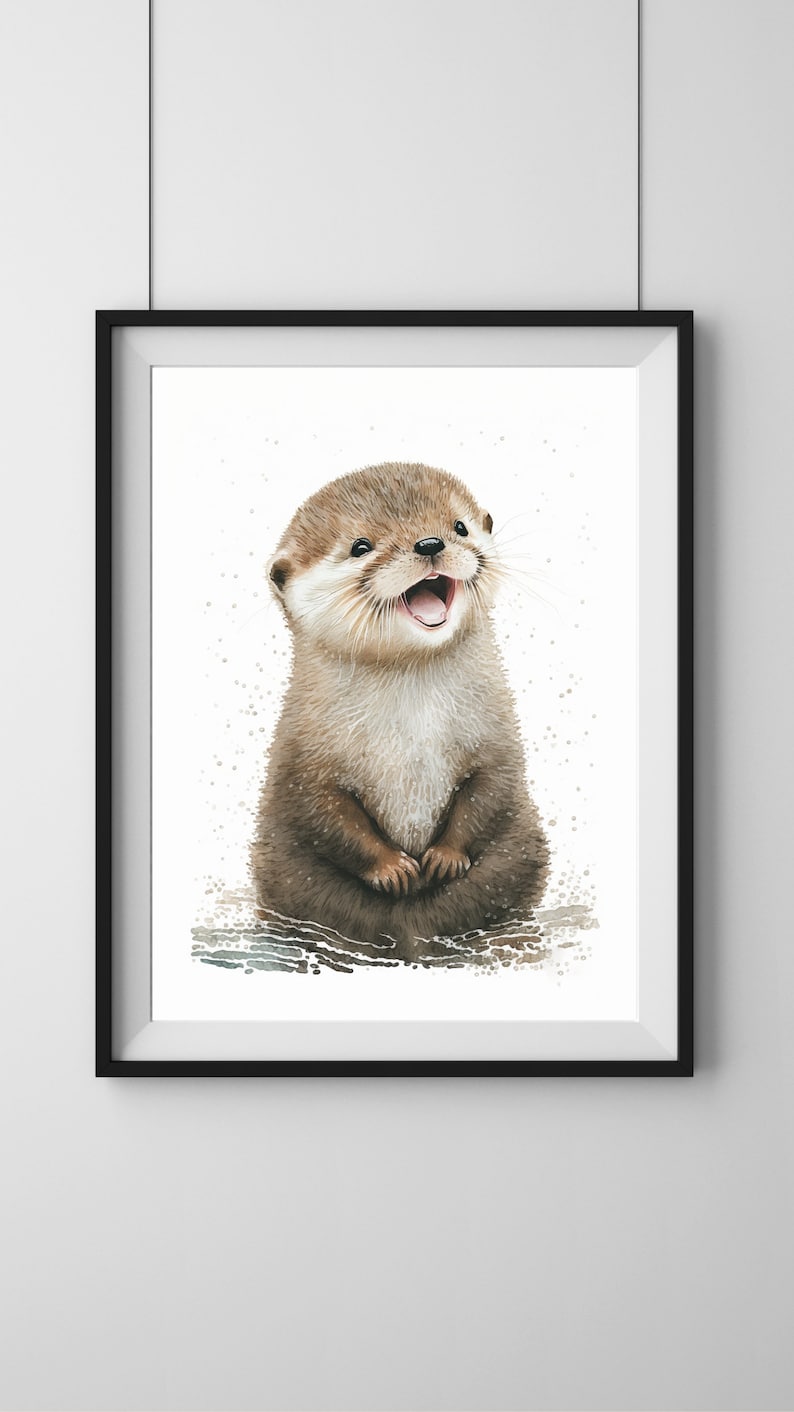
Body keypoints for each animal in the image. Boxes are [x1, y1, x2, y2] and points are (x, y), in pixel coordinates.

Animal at [251, 461, 548, 959]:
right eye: (360, 546)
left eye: (459, 526)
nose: (429, 543)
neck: (412, 729)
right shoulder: (302, 754)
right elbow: (324, 812)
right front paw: (392, 868)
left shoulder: (497, 733)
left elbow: (490, 788)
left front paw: (445, 857)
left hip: (517, 860)